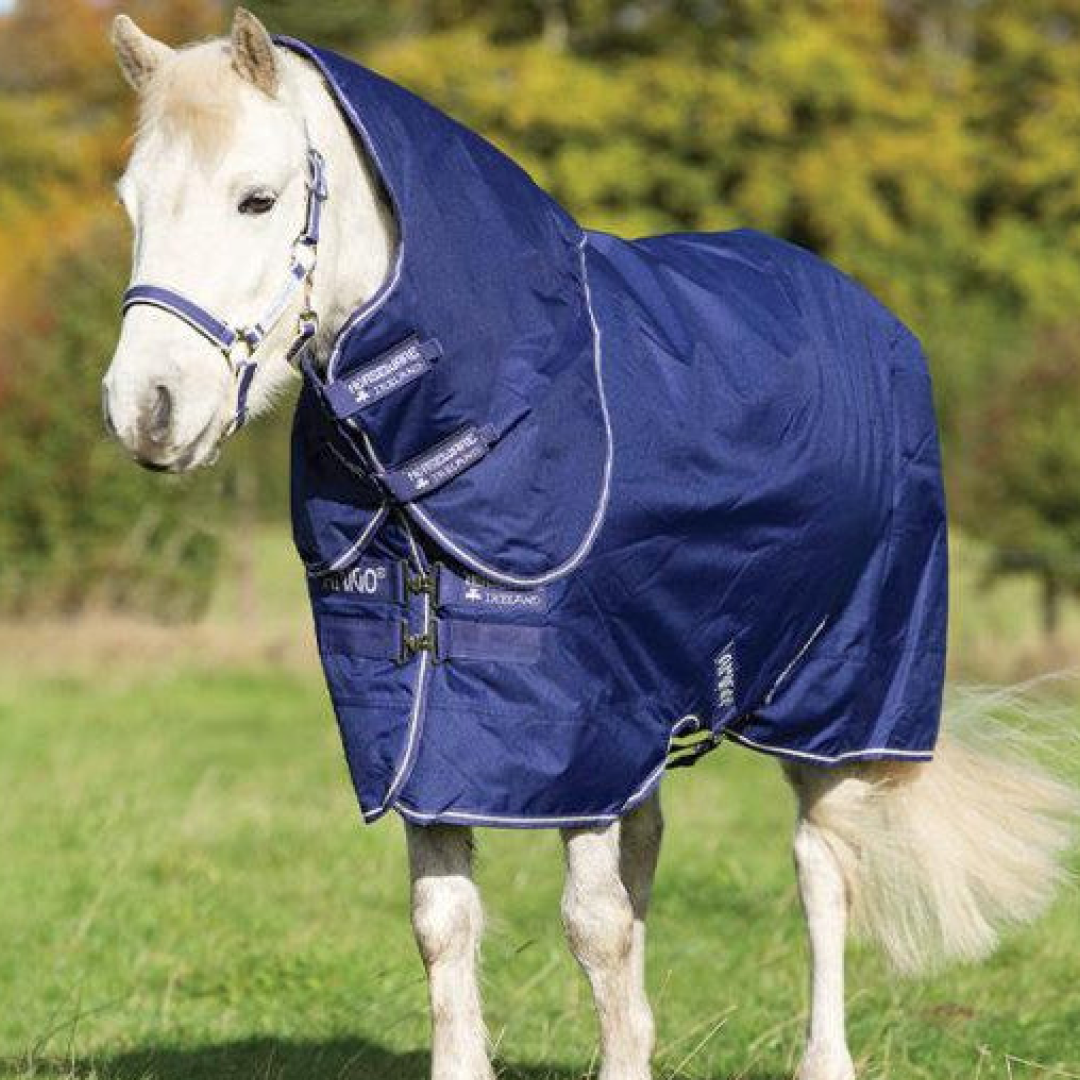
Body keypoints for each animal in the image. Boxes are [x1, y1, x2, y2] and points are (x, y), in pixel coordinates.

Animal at [102, 11, 1078, 1080]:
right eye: (132, 202)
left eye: (258, 199)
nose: (145, 411)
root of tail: (870, 312)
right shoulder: (432, 734)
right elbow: (447, 924)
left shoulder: (583, 734)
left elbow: (593, 925)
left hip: (838, 700)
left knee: (823, 872)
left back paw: (824, 1057)